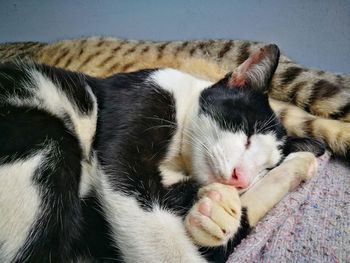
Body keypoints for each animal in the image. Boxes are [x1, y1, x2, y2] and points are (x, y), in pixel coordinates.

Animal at [0, 44, 324, 262]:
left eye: (264, 168)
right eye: (246, 133)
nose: (241, 178)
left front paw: (222, 209)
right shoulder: (140, 105)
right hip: (50, 141)